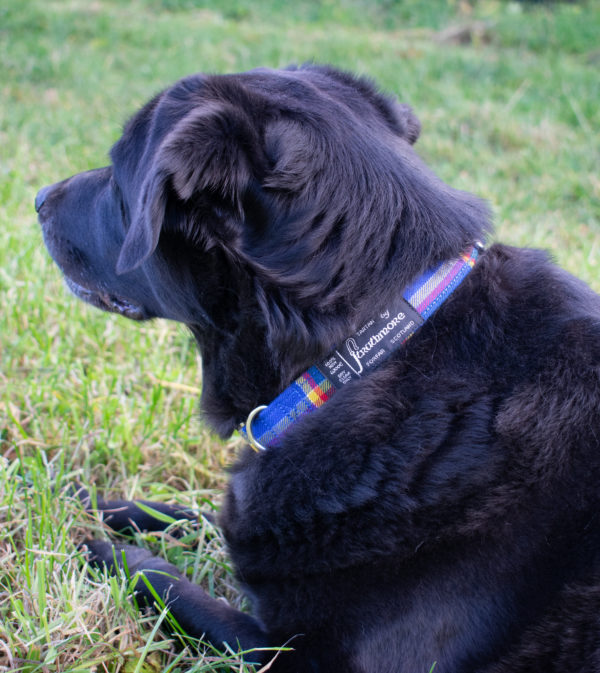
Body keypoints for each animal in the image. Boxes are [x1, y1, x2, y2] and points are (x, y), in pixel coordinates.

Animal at [37, 64, 600, 672]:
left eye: (117, 178)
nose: (38, 198)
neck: (366, 354)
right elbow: (190, 513)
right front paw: (66, 494)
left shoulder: (295, 656)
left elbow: (165, 580)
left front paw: (99, 547)